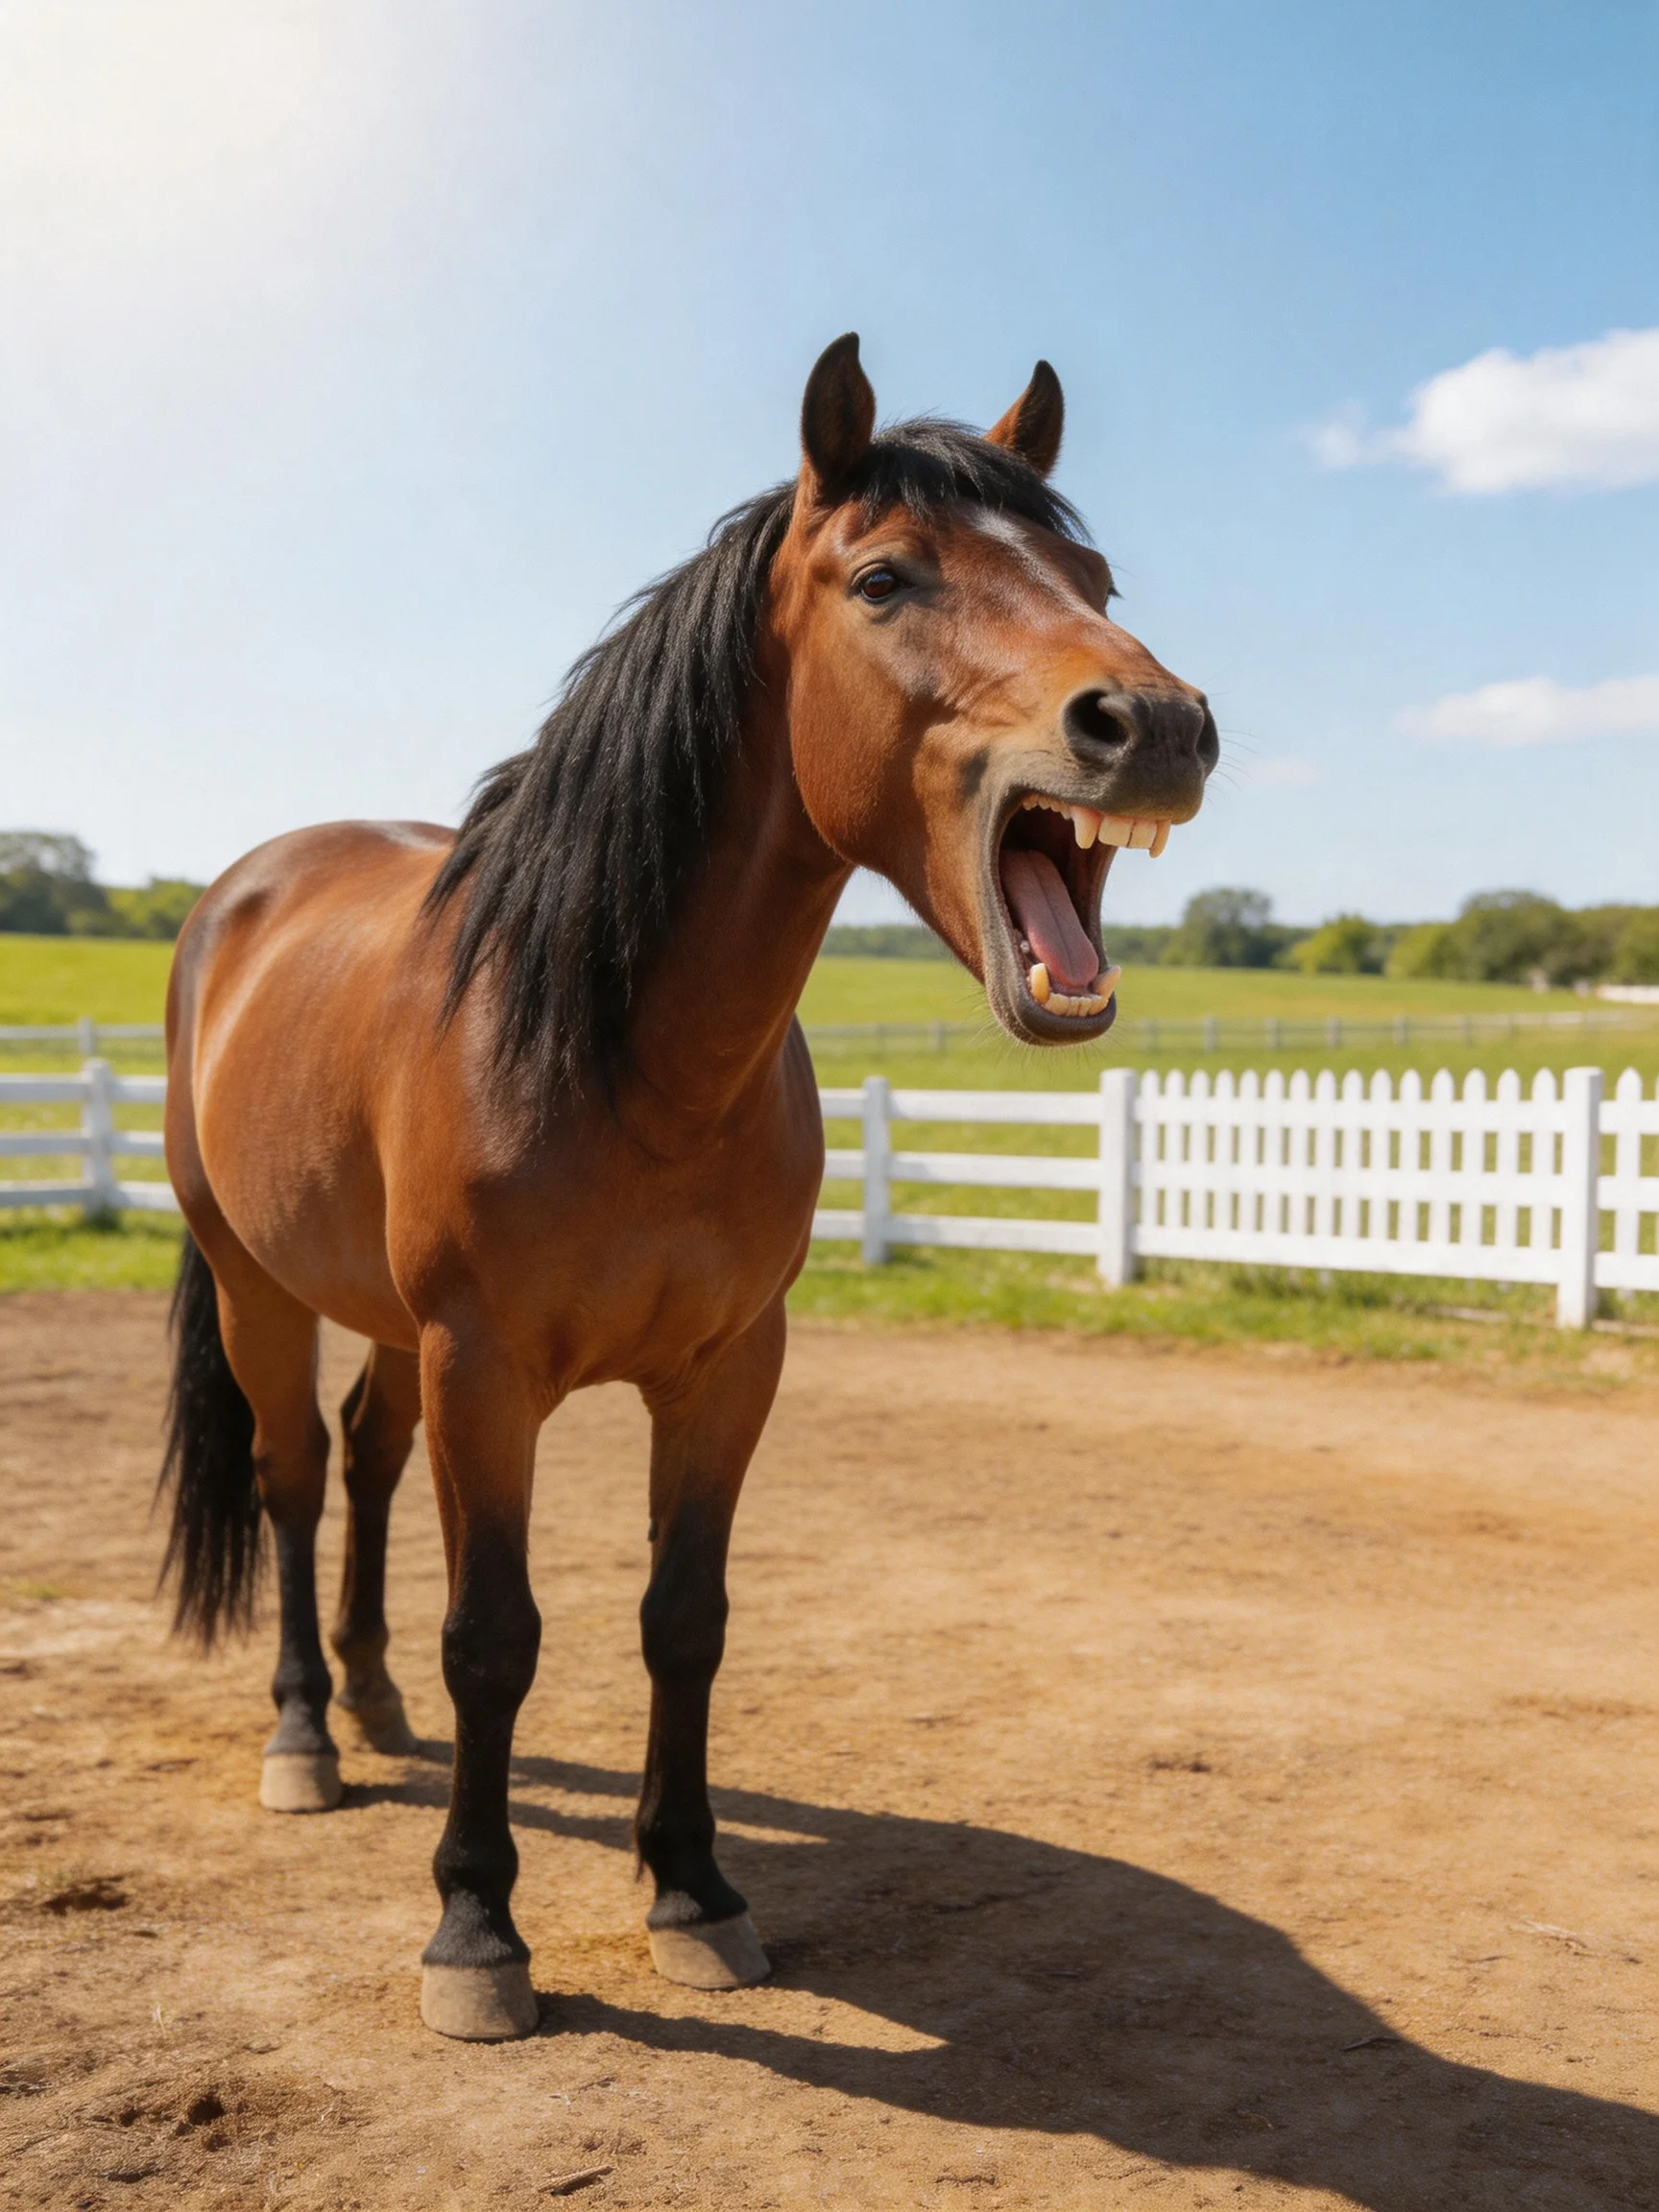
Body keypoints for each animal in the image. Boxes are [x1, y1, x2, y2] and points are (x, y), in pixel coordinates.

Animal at [158, 334, 1217, 2041]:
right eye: (885, 578)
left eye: (1096, 576)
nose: (1158, 724)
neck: (623, 1052)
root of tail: (238, 902)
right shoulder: (487, 1372)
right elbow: (497, 1640)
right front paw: (477, 1929)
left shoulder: (727, 1369)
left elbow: (684, 1622)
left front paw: (694, 1888)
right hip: (264, 1291)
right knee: (294, 1478)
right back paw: (308, 1736)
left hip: (382, 1320)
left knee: (364, 1463)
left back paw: (371, 1700)